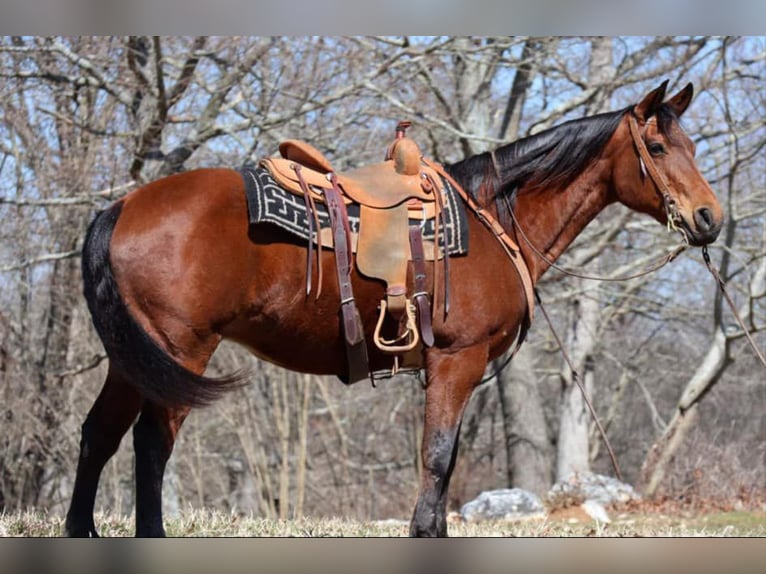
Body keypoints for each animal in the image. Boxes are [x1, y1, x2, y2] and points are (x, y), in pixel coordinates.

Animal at [65, 81, 722, 537]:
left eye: (692, 145)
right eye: (657, 146)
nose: (710, 218)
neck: (494, 220)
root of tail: (119, 208)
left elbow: (444, 463)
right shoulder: (458, 361)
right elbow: (437, 458)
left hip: (133, 358)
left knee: (98, 434)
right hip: (180, 350)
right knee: (151, 443)